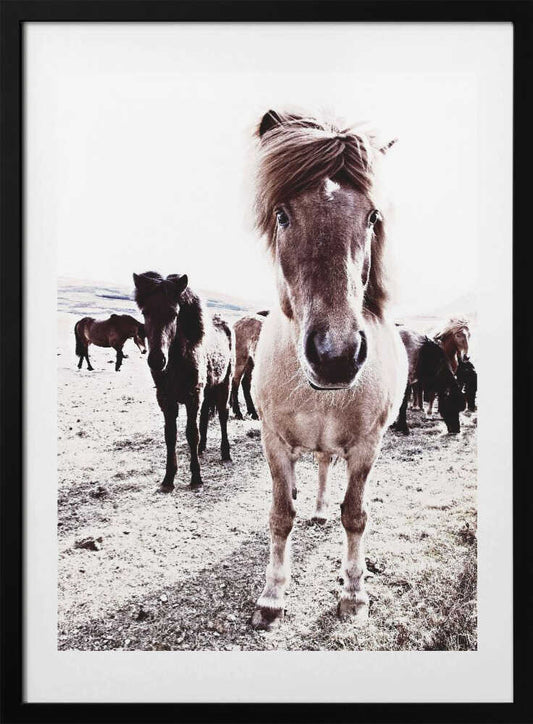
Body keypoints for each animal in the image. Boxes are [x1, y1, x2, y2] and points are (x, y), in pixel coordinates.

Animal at [133, 272, 233, 491]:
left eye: (174, 314)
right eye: (145, 312)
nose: (156, 360)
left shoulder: (192, 396)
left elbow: (191, 433)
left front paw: (196, 477)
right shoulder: (166, 400)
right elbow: (170, 435)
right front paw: (168, 478)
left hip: (224, 385)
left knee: (223, 415)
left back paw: (226, 453)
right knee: (205, 416)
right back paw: (202, 449)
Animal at [249, 110, 408, 630]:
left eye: (373, 216)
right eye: (282, 215)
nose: (335, 354)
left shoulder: (366, 446)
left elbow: (355, 515)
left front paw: (354, 593)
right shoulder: (274, 441)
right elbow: (281, 515)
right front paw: (272, 596)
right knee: (316, 468)